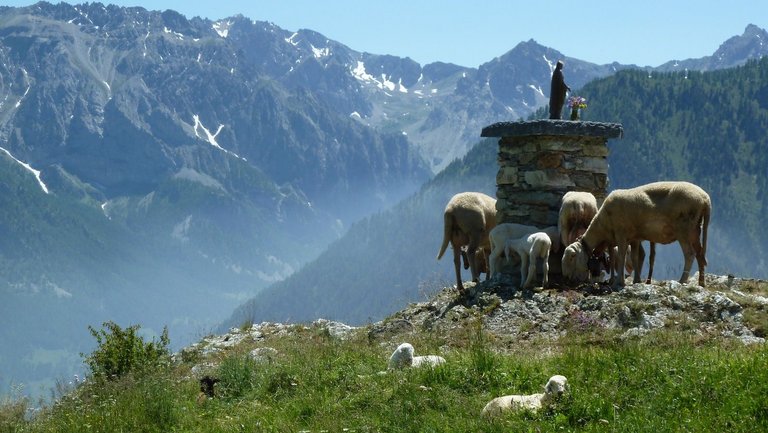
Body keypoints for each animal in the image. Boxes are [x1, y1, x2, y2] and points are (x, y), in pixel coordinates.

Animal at [560, 181, 712, 288]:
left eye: (572, 257)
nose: (566, 279)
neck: (603, 223)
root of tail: (705, 199)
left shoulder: (621, 234)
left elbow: (621, 257)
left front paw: (619, 282)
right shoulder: (633, 238)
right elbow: (634, 257)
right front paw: (636, 280)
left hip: (684, 229)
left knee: (690, 254)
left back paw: (682, 281)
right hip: (695, 229)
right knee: (699, 254)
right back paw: (701, 282)